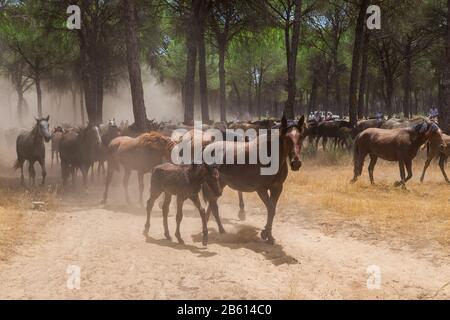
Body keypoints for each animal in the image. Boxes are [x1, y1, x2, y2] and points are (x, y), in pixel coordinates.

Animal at [203, 116, 306, 244]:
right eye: (286, 137)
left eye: (301, 137)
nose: (296, 163)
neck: (271, 157)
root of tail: (207, 147)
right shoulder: (261, 190)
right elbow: (271, 209)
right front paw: (267, 235)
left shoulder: (277, 188)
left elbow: (272, 209)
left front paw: (266, 233)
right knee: (212, 204)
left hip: (219, 185)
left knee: (212, 204)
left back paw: (215, 229)